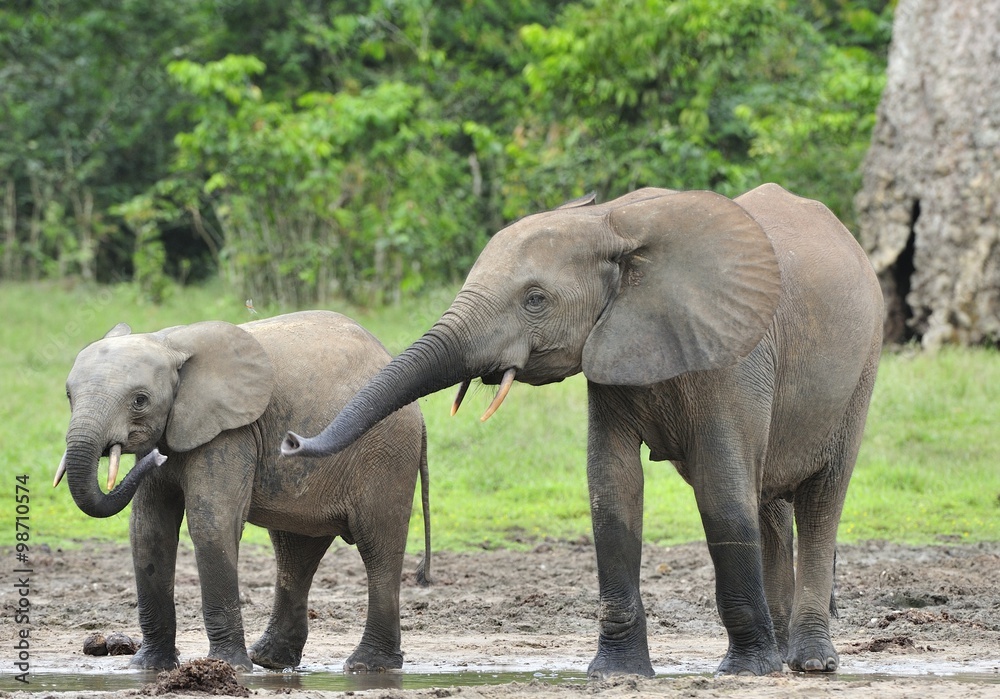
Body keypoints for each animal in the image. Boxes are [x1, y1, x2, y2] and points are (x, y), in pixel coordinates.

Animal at [58, 310, 431, 672]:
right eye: (68, 396)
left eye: (139, 400)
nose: (155, 456)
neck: (170, 342)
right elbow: (148, 531)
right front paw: (146, 667)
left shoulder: (231, 431)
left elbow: (211, 525)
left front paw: (228, 667)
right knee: (296, 551)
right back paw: (271, 660)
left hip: (387, 451)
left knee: (378, 547)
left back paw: (366, 665)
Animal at [282, 184, 883, 677]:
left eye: (535, 299)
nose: (291, 442)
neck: (613, 223)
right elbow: (611, 489)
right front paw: (617, 674)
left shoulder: (734, 351)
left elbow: (721, 490)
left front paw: (743, 672)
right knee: (771, 501)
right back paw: (784, 656)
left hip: (864, 364)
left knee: (821, 497)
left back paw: (809, 663)